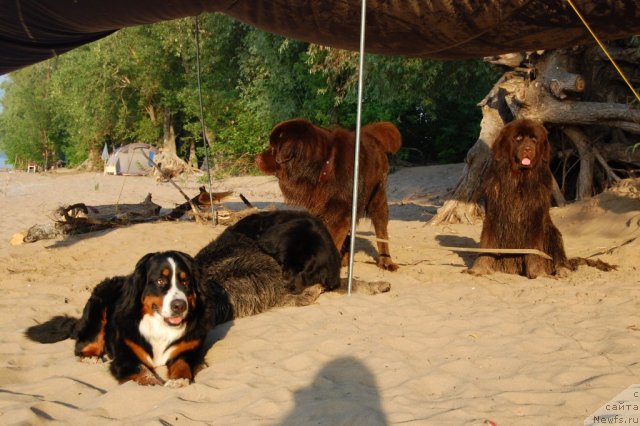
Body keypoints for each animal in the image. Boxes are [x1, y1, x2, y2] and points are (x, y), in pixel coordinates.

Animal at [470, 118, 608, 278]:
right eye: (518, 138)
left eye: (534, 140)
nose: (528, 149)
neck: (520, 181)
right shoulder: (493, 213)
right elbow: (487, 243)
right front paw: (479, 268)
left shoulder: (535, 217)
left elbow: (534, 248)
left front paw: (537, 272)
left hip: (553, 233)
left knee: (559, 256)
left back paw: (563, 270)